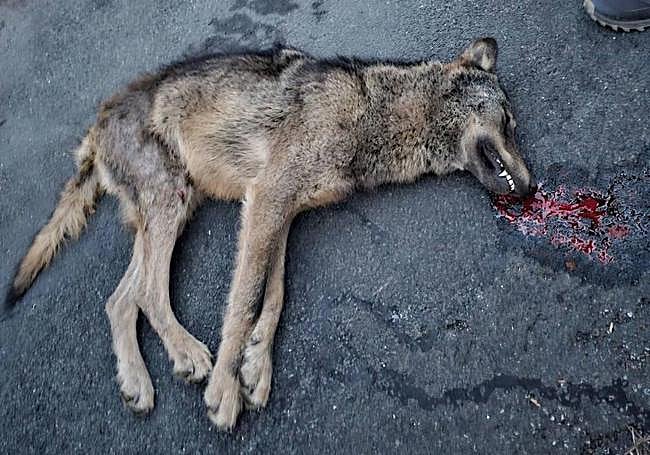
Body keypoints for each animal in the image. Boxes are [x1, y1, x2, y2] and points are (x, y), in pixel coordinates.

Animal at [6, 38, 536, 431]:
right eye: (510, 124)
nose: (533, 188)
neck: (375, 113)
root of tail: (97, 123)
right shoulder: (267, 199)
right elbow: (242, 304)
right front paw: (224, 390)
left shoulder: (280, 211)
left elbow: (274, 295)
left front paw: (255, 367)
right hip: (171, 201)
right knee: (149, 294)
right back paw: (188, 353)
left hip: (176, 207)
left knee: (120, 299)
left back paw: (138, 380)